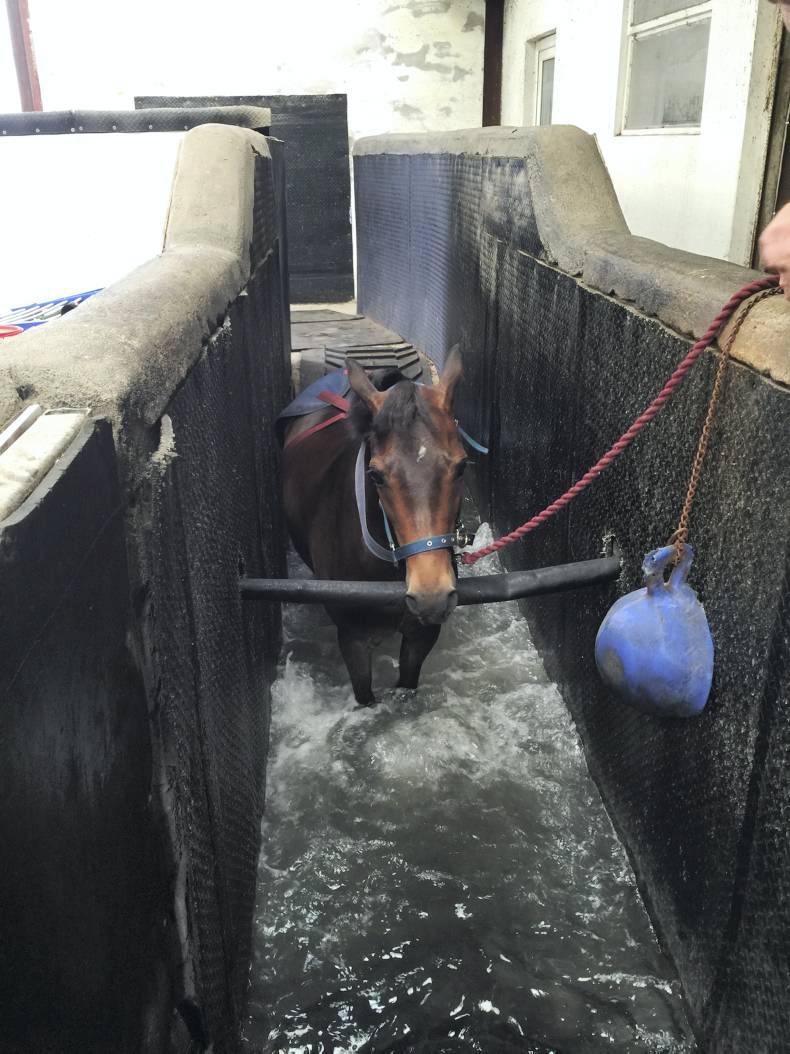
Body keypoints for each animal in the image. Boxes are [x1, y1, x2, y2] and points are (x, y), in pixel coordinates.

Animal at [282, 350, 467, 705]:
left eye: (462, 466)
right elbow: (364, 692)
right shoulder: (352, 636)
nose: (431, 595)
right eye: (376, 475)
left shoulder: (421, 634)